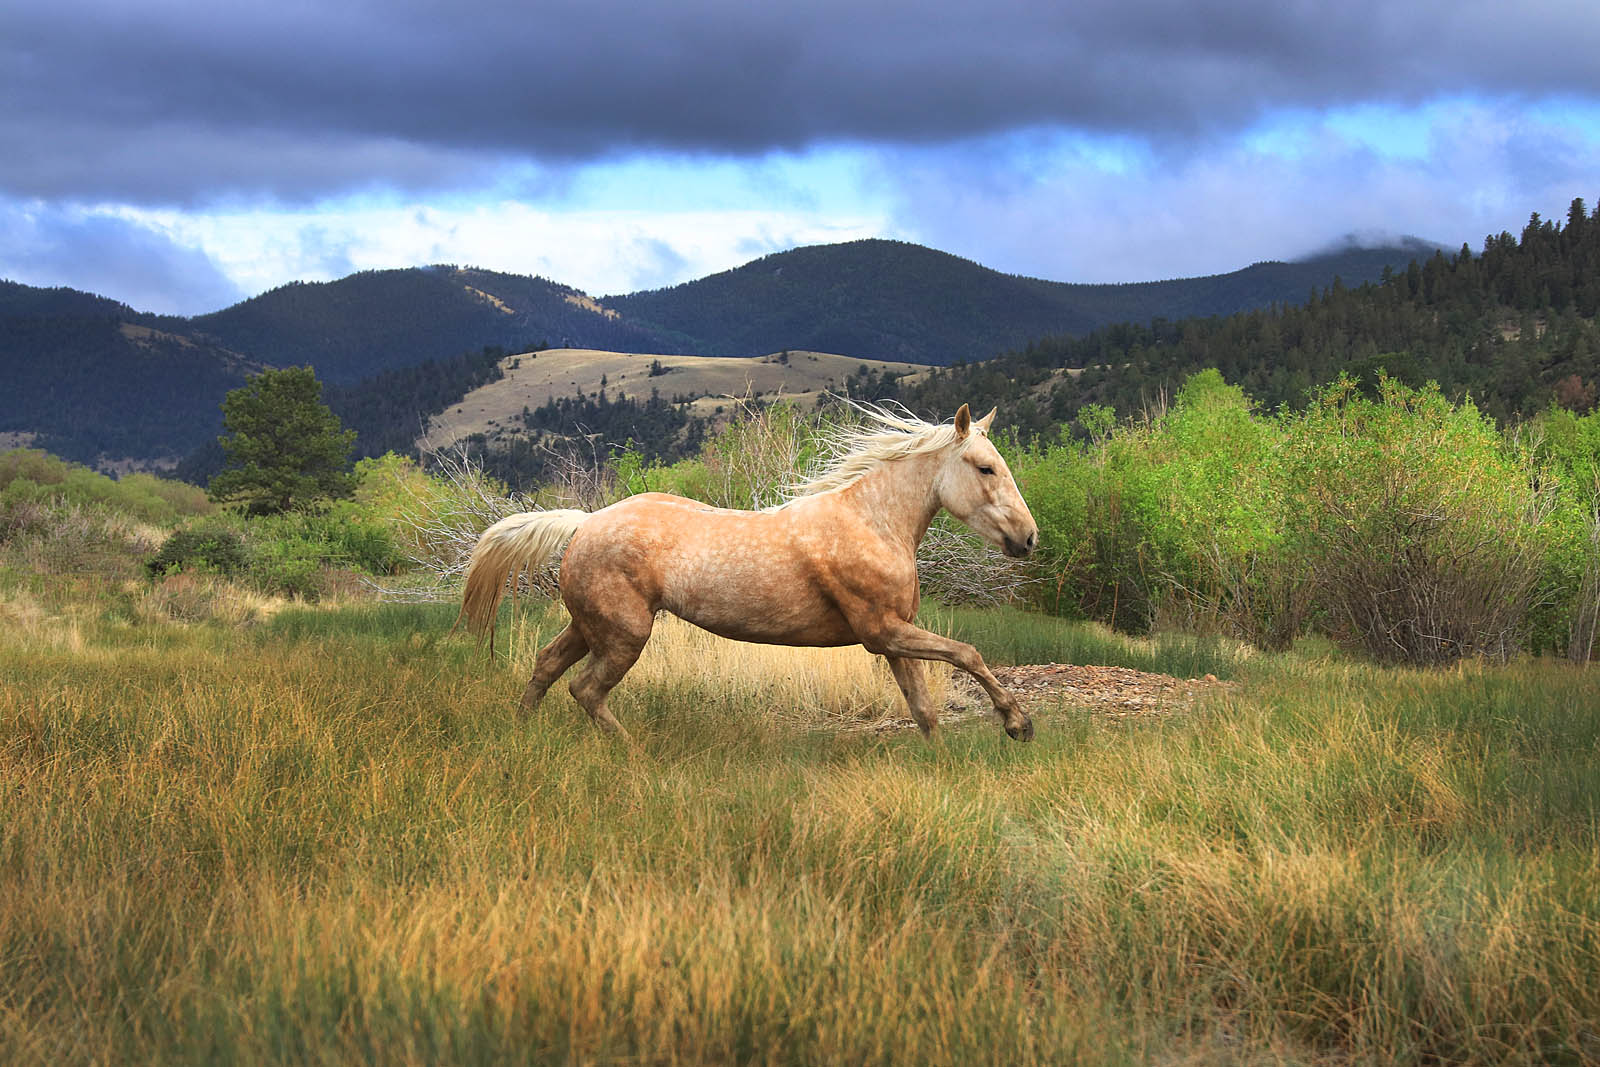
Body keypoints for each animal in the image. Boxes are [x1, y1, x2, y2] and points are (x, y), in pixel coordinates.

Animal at [458, 402, 1040, 743]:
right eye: (985, 467)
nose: (1029, 538)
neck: (872, 522)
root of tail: (584, 522)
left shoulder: (896, 637)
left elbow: (924, 711)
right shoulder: (882, 632)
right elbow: (969, 654)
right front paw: (1019, 723)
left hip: (591, 625)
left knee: (546, 666)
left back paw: (522, 733)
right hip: (625, 634)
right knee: (585, 690)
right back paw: (631, 751)